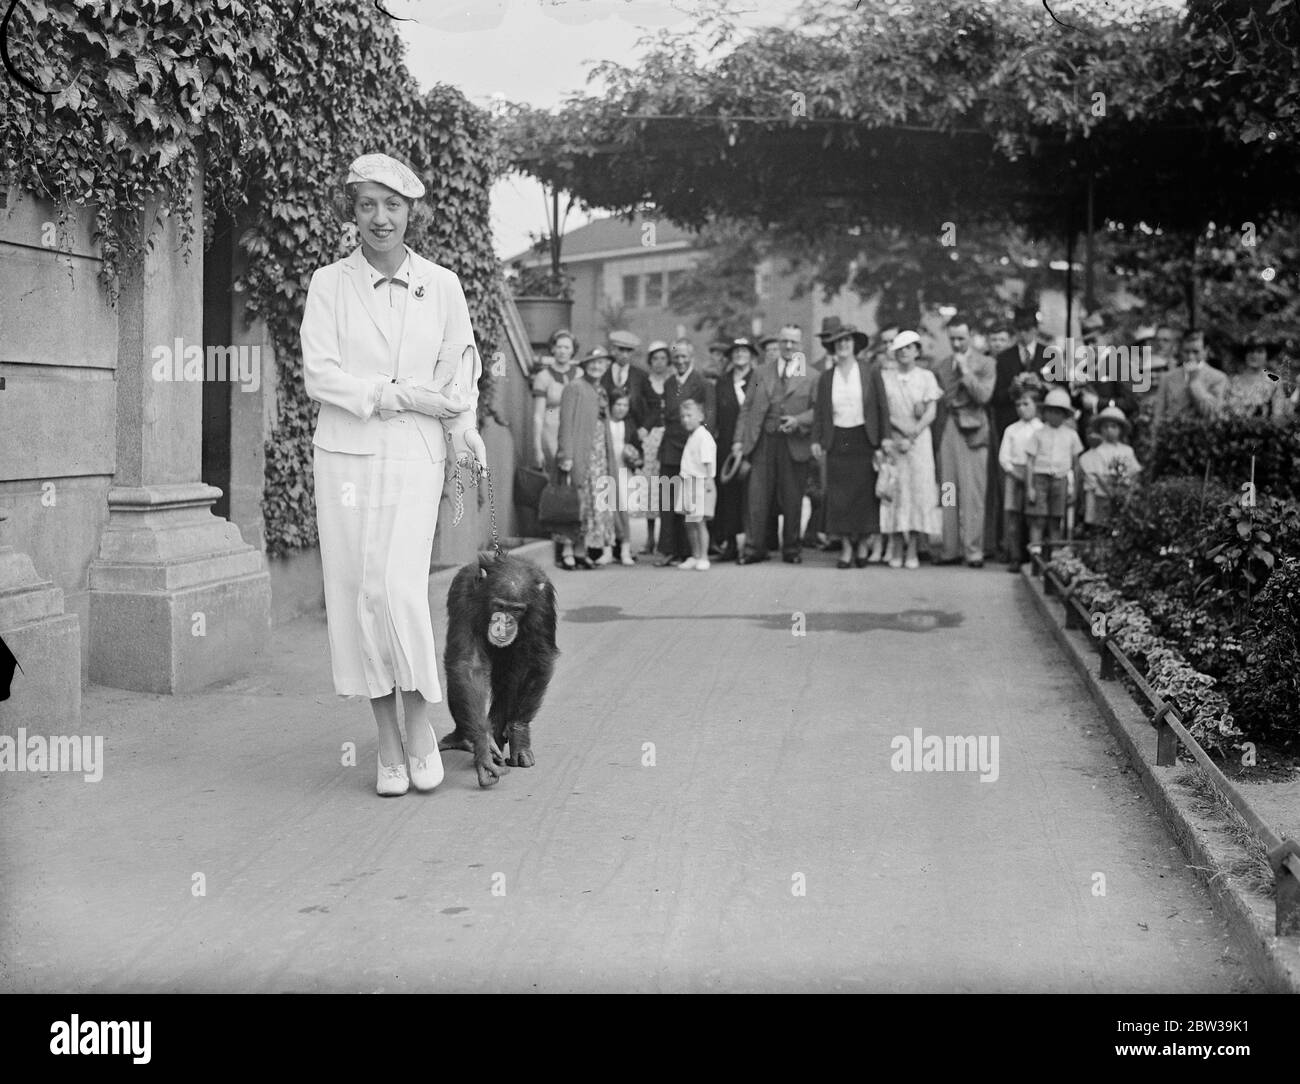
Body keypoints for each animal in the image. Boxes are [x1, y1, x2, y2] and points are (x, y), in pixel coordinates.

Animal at [439, 548, 556, 785]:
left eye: (517, 610)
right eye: (500, 606)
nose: (505, 621)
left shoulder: (544, 604)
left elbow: (537, 660)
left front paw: (519, 734)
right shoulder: (463, 595)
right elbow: (469, 664)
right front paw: (483, 747)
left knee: (509, 683)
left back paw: (499, 733)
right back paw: (464, 739)